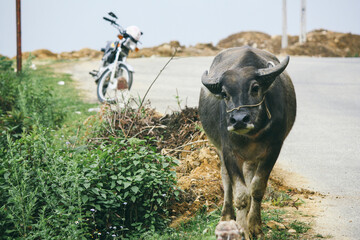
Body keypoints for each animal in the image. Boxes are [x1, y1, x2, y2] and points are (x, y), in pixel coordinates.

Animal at [198, 46, 296, 239]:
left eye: (255, 88)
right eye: (225, 94)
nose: (238, 120)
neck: (252, 133)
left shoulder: (273, 149)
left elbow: (256, 189)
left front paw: (255, 227)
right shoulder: (229, 151)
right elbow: (241, 195)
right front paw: (241, 229)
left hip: (252, 157)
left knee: (250, 178)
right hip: (220, 151)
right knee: (226, 180)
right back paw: (226, 215)